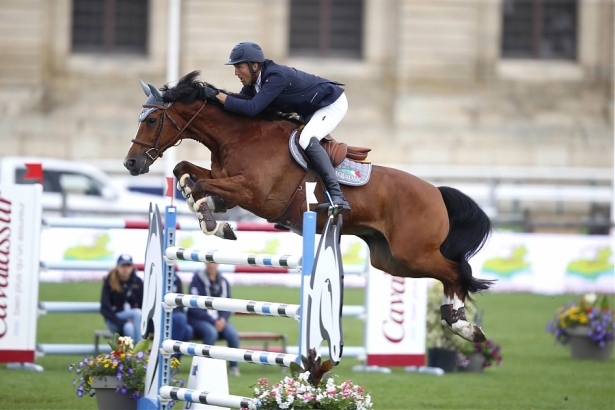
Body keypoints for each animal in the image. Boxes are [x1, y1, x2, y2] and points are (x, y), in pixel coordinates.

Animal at [122, 70, 494, 342]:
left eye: (152, 121)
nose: (131, 164)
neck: (239, 137)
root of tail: (436, 193)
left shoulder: (254, 193)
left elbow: (200, 184)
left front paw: (215, 223)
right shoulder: (226, 178)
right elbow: (185, 170)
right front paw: (210, 214)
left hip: (412, 252)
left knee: (455, 271)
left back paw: (463, 327)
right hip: (390, 259)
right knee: (448, 274)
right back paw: (460, 324)